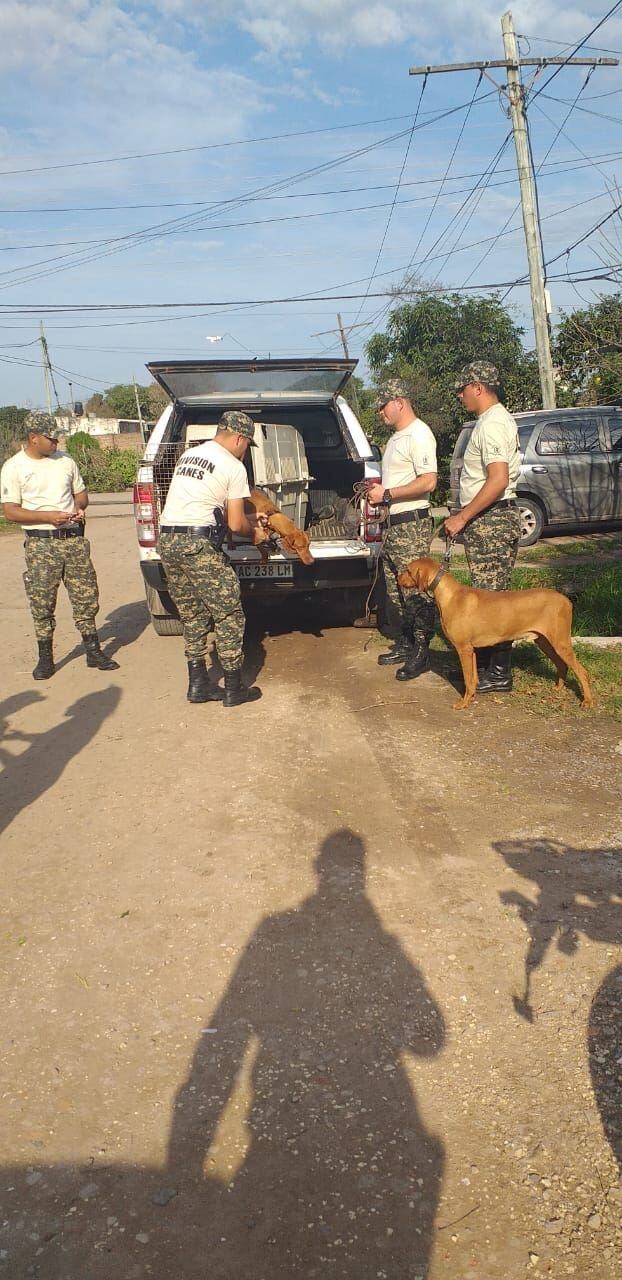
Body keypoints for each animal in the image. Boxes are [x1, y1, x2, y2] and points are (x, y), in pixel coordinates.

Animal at [399, 550, 593, 711]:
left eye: (408, 570)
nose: (397, 579)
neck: (450, 596)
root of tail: (566, 600)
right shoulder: (471, 650)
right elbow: (473, 678)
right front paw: (472, 697)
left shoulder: (463, 648)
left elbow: (468, 679)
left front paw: (463, 703)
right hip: (544, 641)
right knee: (562, 665)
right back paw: (558, 688)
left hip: (560, 643)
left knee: (582, 672)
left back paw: (588, 701)